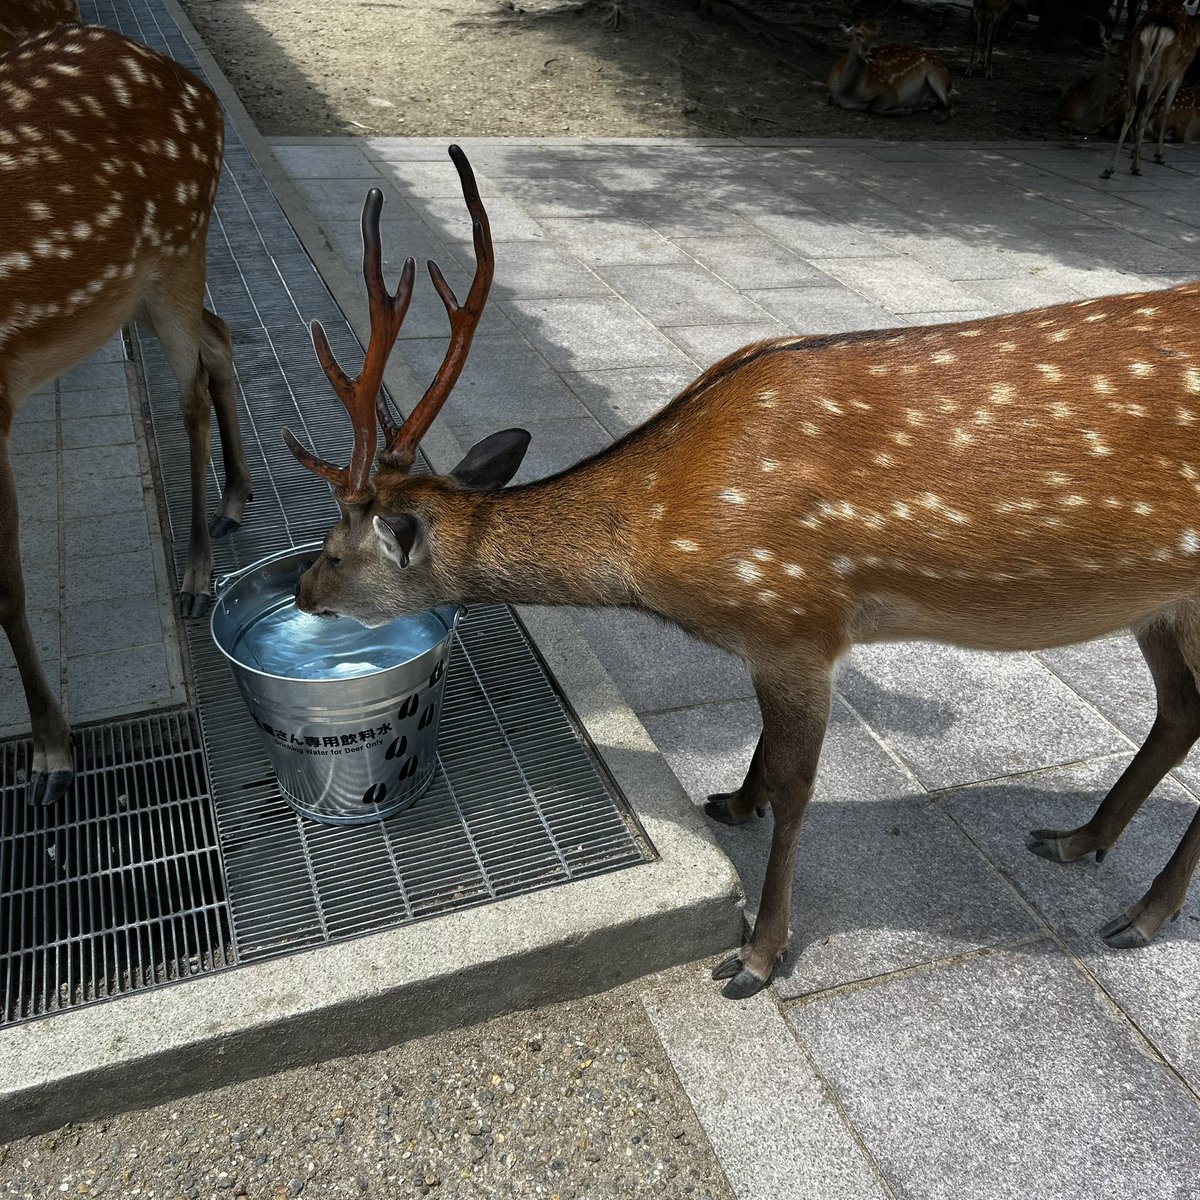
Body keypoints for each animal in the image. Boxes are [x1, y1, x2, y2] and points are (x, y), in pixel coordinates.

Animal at [1, 23, 253, 806]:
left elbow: (7, 582)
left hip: (178, 243)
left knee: (192, 388)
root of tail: (194, 85)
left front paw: (51, 753)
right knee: (219, 335)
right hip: (133, 288)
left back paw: (197, 576)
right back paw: (235, 498)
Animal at [285, 146, 1200, 1000]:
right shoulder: (777, 639)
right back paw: (1079, 840)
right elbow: (766, 752)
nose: (301, 590)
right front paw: (732, 799)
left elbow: (799, 790)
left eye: (333, 549)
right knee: (1180, 710)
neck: (665, 543)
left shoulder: (796, 615)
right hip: (1159, 605)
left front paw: (757, 954)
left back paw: (1143, 915)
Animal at [826, 20, 955, 118]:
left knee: (950, 104)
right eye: (859, 34)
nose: (874, 50)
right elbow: (834, 101)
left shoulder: (889, 91)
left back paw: (939, 116)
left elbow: (873, 108)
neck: (849, 93)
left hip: (937, 75)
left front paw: (904, 110)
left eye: (879, 35)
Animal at [1102, 1, 1200, 176]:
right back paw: (1136, 167)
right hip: (1163, 70)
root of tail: (1158, 28)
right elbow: (1167, 107)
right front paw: (1159, 155)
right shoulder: (1179, 73)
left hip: (1136, 64)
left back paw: (1109, 168)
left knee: (1133, 108)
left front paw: (1134, 152)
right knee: (1147, 110)